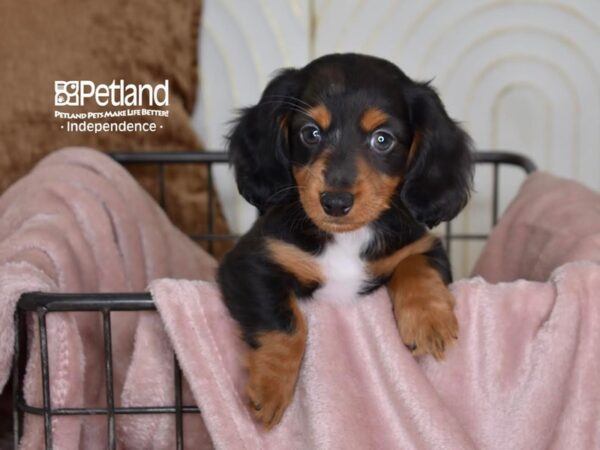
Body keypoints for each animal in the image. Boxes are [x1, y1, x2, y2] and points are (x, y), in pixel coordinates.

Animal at [217, 53, 474, 428]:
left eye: (382, 139)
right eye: (310, 133)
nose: (335, 202)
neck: (347, 239)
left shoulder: (423, 245)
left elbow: (416, 265)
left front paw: (429, 322)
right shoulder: (249, 261)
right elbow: (284, 323)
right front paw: (271, 386)